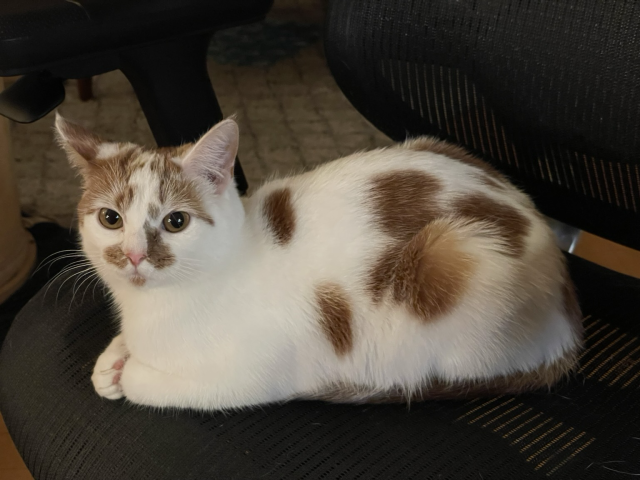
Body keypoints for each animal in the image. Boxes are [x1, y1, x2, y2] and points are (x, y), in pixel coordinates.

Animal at [56, 114, 584, 410]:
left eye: (176, 222)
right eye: (110, 218)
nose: (133, 255)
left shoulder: (256, 373)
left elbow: (155, 384)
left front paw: (130, 372)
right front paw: (113, 358)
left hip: (455, 257)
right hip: (431, 143)